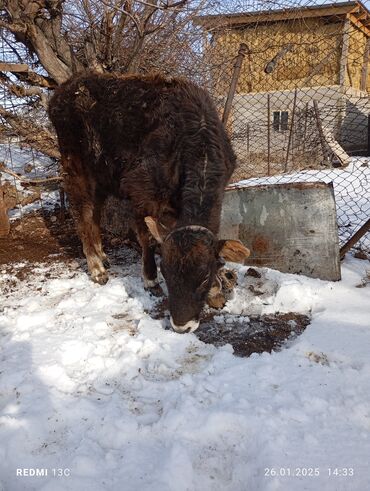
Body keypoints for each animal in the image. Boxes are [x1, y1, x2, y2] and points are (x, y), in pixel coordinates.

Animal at [47, 73, 249, 334]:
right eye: (166, 272)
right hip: (76, 169)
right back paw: (96, 268)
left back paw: (103, 255)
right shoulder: (142, 193)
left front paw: (215, 290)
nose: (181, 326)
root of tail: (65, 88)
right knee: (82, 212)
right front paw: (150, 279)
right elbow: (147, 237)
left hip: (101, 176)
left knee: (95, 213)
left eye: (204, 276)